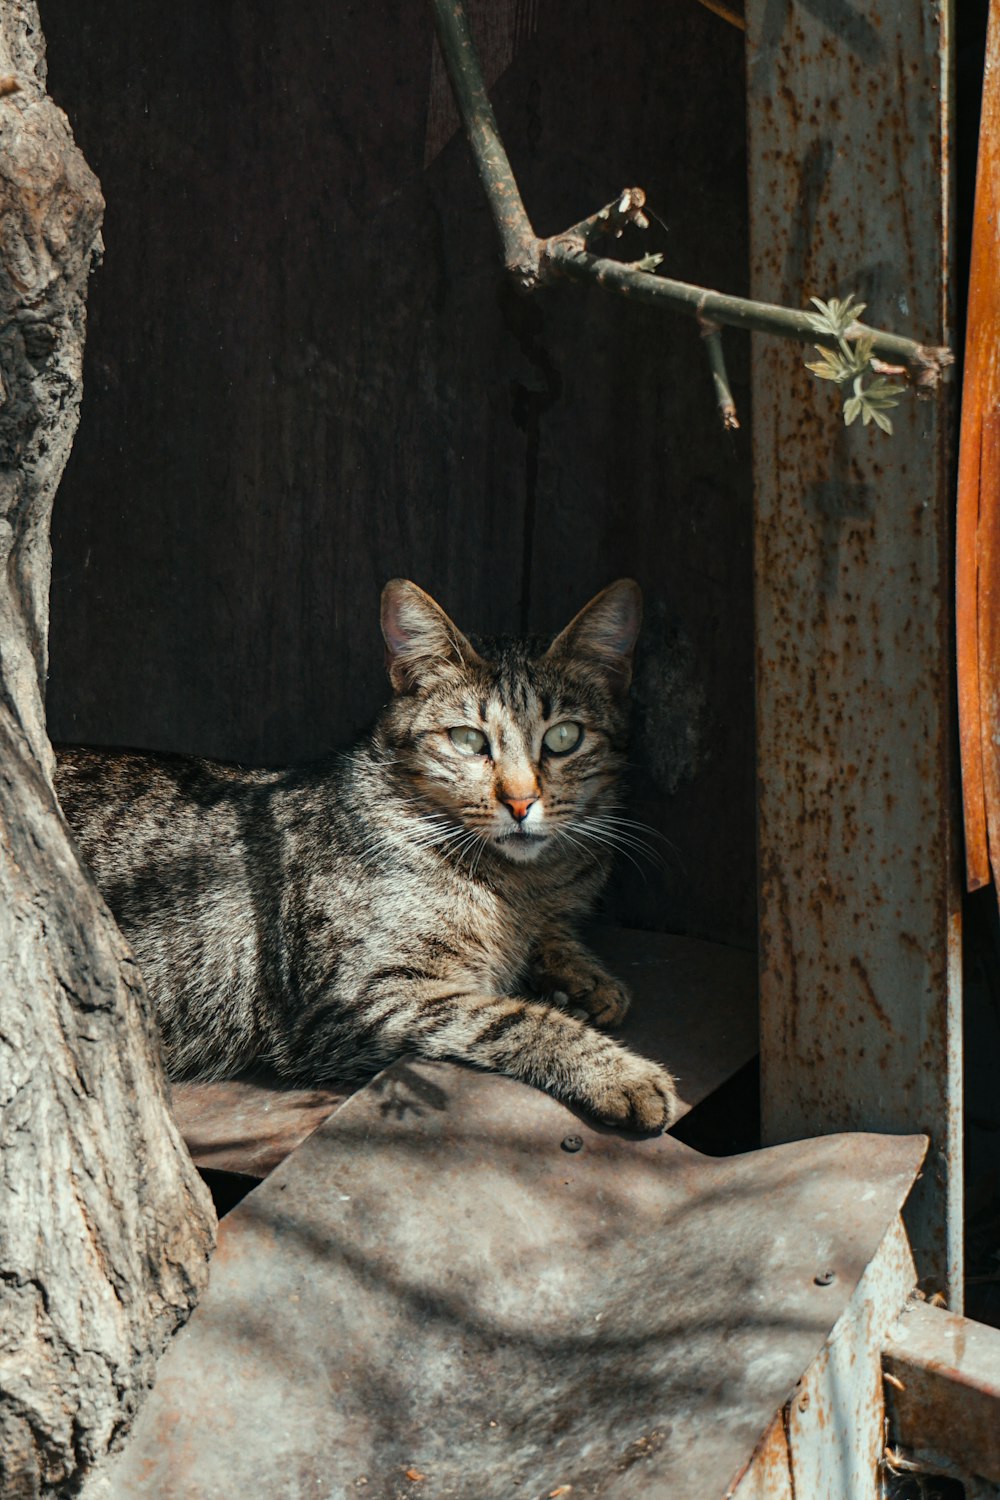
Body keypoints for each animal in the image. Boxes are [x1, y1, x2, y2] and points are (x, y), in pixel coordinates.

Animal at [56, 579, 680, 1128]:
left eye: (563, 738)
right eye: (468, 740)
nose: (522, 801)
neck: (519, 887)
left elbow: (555, 939)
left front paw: (584, 977)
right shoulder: (358, 999)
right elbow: (509, 1018)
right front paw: (620, 1074)